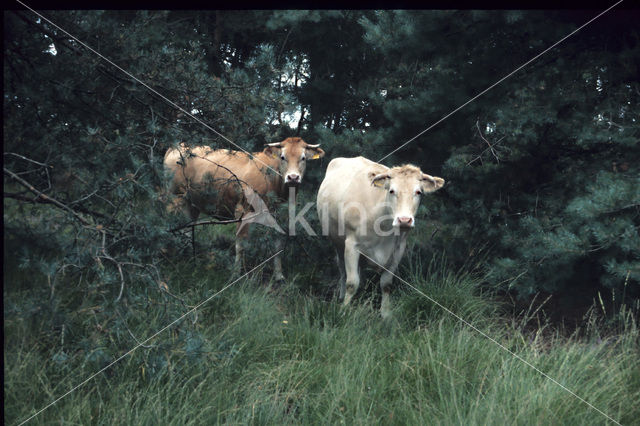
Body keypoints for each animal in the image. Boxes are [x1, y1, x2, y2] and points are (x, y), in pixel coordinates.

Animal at [165, 138, 324, 282]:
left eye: (303, 158)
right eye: (282, 157)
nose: (293, 177)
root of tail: (177, 146)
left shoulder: (283, 216)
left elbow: (278, 245)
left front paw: (279, 275)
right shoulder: (243, 211)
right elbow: (240, 245)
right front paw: (236, 274)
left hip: (192, 204)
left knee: (187, 227)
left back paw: (189, 256)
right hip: (177, 198)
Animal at [316, 156, 444, 316]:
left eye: (418, 192)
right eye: (391, 191)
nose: (404, 220)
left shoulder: (398, 250)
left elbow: (386, 284)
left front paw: (386, 314)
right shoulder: (351, 245)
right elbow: (352, 282)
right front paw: (344, 311)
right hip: (337, 242)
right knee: (342, 269)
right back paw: (341, 296)